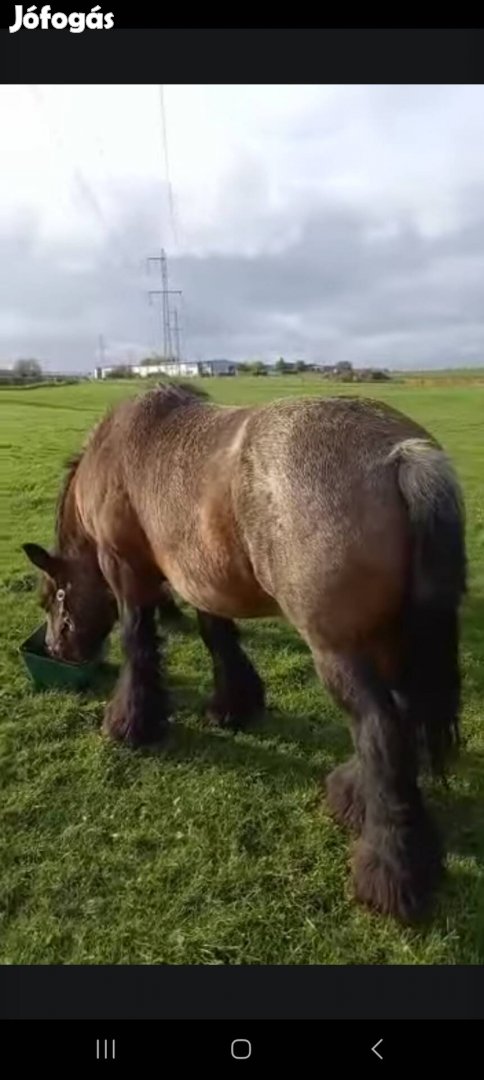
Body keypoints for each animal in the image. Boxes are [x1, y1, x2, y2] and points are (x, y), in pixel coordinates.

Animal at [22, 382, 464, 920]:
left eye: (52, 597)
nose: (55, 648)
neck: (118, 449)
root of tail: (402, 453)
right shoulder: (200, 577)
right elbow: (218, 636)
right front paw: (234, 704)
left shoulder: (125, 570)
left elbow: (138, 645)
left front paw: (131, 722)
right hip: (389, 641)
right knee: (398, 720)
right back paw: (354, 796)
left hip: (338, 651)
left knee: (380, 730)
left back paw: (389, 871)